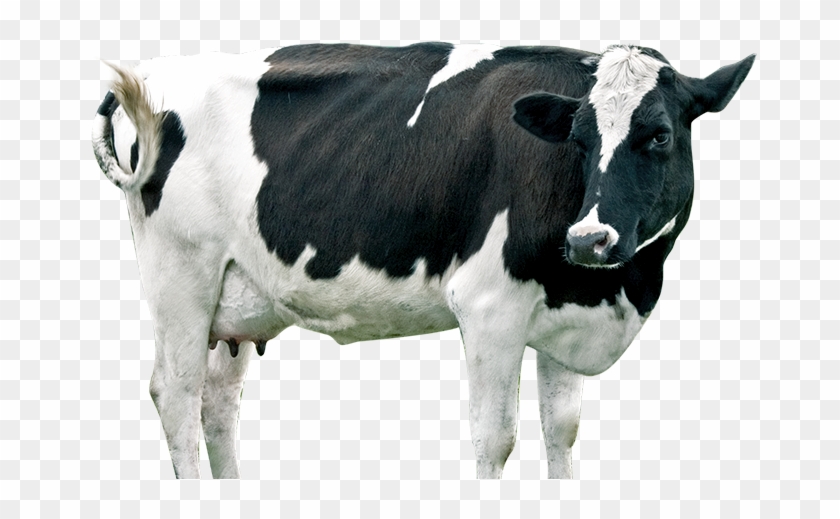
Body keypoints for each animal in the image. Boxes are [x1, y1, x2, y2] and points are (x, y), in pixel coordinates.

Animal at [91, 43, 754, 479]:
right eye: (579, 138)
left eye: (660, 134)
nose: (590, 239)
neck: (616, 292)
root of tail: (162, 73)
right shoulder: (489, 307)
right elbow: (496, 439)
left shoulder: (568, 315)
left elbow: (561, 431)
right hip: (181, 278)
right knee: (176, 394)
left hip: (236, 298)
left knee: (217, 403)